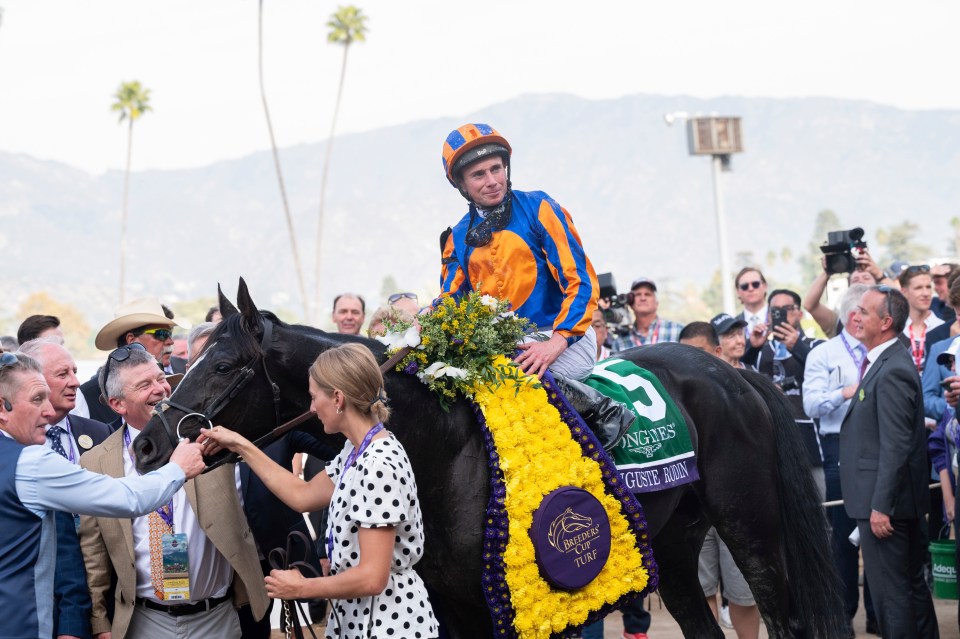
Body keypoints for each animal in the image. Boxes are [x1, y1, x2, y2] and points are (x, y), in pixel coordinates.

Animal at [135, 284, 840, 639]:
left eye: (223, 365)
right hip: (673, 538)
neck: (443, 449)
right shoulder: (455, 609)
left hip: (751, 527)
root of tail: (735, 373)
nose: (146, 444)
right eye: (191, 357)